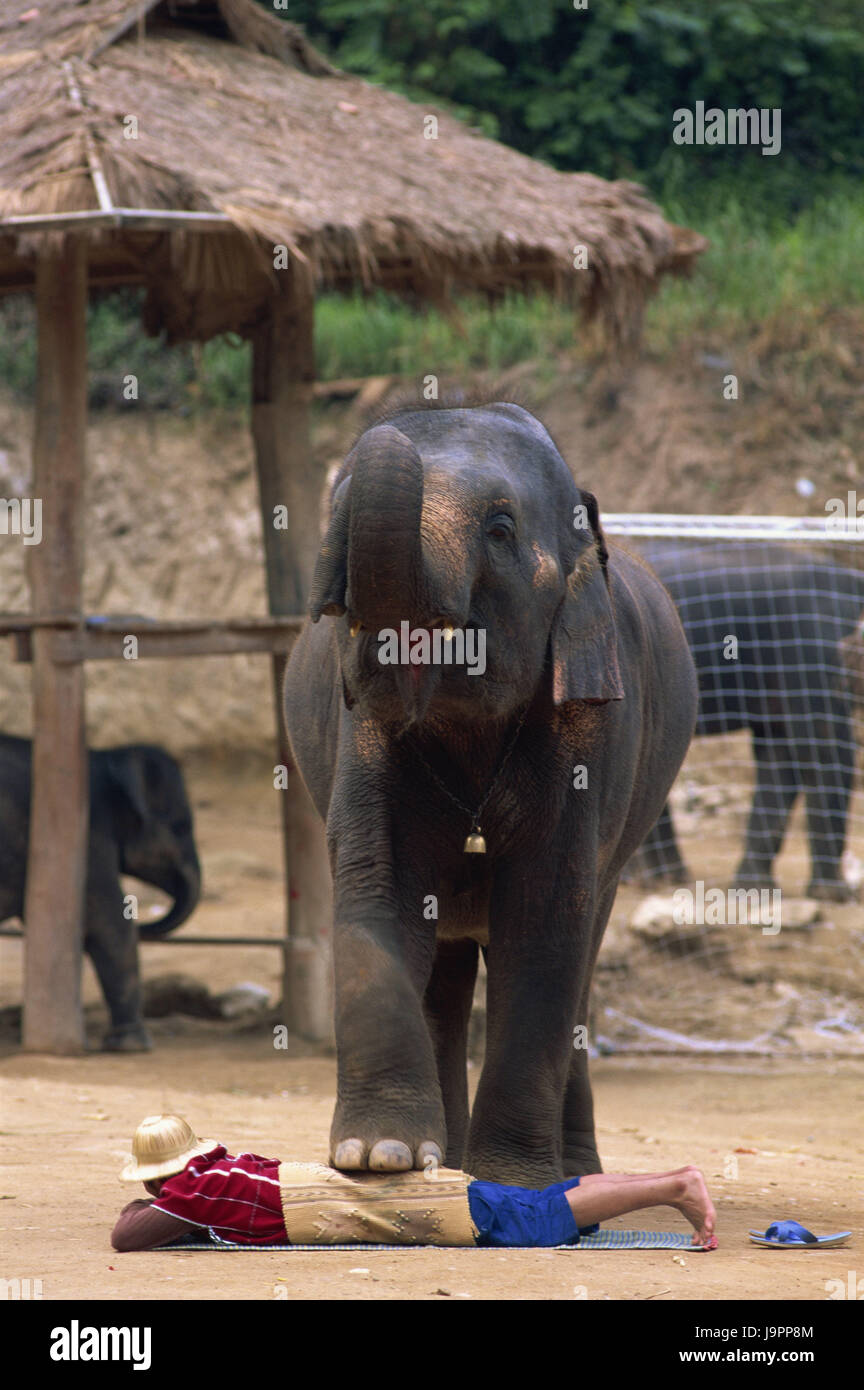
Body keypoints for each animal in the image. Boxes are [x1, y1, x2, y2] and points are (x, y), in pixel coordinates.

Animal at [287, 400, 700, 1184]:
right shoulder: (361, 730)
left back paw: (572, 1173)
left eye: (501, 530)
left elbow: (545, 912)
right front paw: (377, 1158)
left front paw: (513, 1180)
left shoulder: (587, 725)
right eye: (336, 522)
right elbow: (381, 882)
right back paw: (438, 1162)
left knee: (583, 960)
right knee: (444, 976)